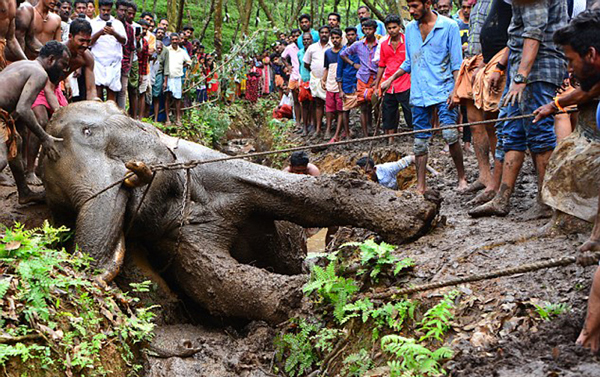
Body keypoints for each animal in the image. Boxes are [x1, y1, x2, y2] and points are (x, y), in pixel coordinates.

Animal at [41, 100, 436, 324]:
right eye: (62, 206)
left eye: (89, 132)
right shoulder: (175, 243)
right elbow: (224, 288)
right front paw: (316, 290)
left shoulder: (212, 164)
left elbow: (305, 192)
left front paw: (421, 213)